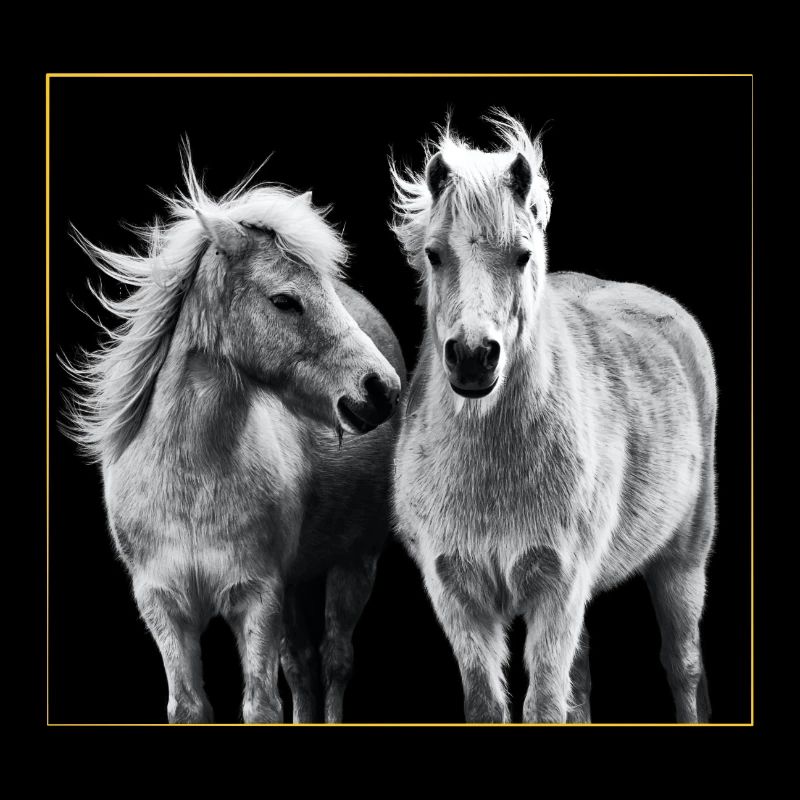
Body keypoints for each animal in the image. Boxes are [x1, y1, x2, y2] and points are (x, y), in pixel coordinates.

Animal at [63, 149, 406, 723]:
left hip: (355, 561)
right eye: (285, 300)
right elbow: (191, 706)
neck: (189, 481)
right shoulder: (165, 606)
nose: (380, 390)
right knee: (302, 665)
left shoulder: (257, 598)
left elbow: (261, 705)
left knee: (335, 661)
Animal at [390, 112, 717, 724]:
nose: (474, 357)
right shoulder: (457, 594)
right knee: (581, 685)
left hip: (683, 560)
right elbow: (494, 703)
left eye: (522, 254)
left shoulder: (558, 589)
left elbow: (543, 703)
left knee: (683, 667)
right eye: (434, 254)